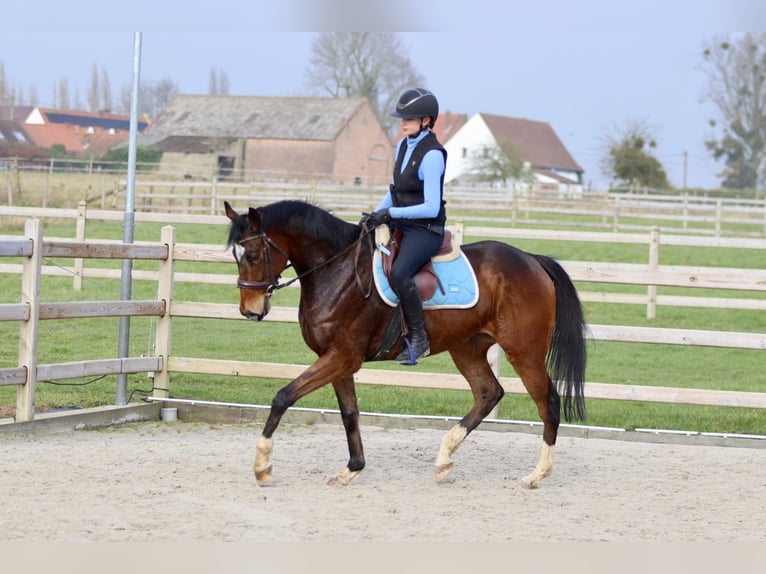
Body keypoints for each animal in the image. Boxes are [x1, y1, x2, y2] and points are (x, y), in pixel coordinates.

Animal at [225, 199, 592, 490]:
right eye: (236, 256)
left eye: (254, 254)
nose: (249, 311)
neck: (338, 271)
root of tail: (531, 259)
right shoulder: (338, 360)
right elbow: (349, 413)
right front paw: (352, 469)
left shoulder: (342, 357)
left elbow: (283, 396)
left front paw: (262, 467)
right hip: (467, 347)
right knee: (488, 393)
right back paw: (444, 459)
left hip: (524, 351)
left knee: (548, 403)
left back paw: (536, 475)